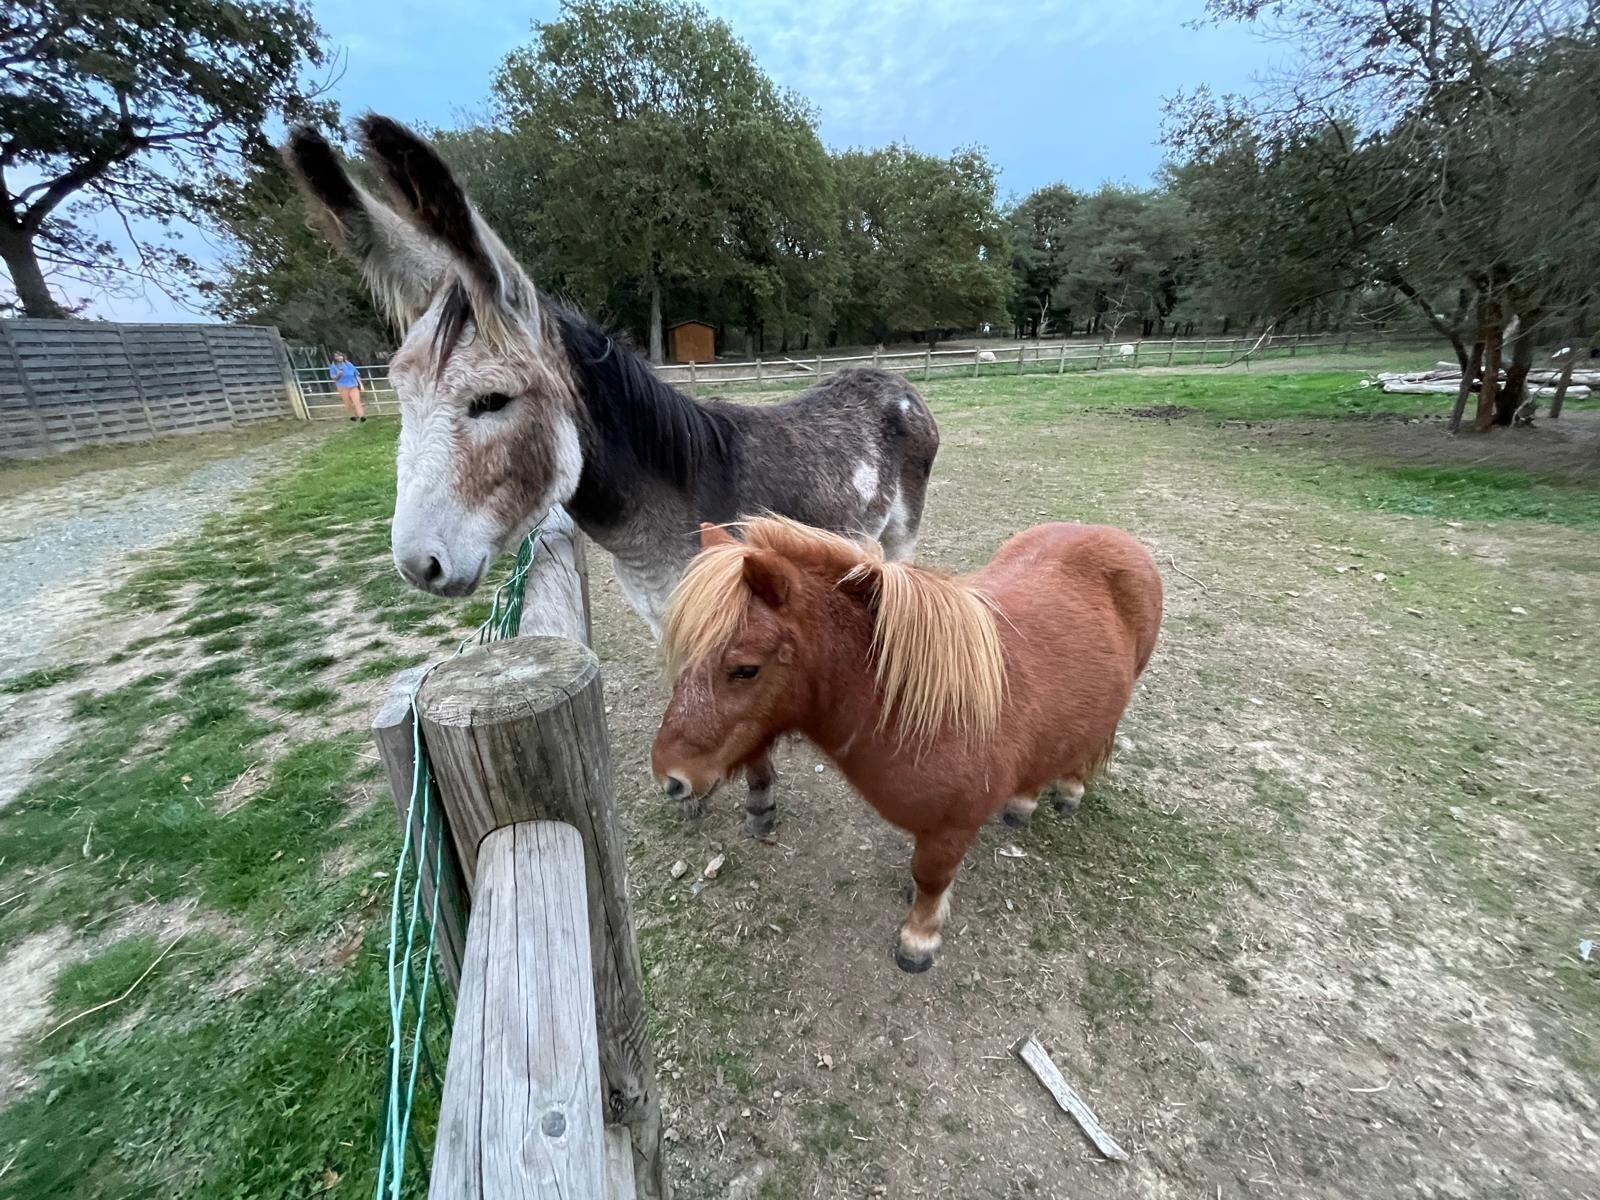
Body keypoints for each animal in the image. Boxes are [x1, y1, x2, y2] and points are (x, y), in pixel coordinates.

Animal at [283, 115, 939, 836]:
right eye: (398, 390)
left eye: (492, 400)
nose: (416, 566)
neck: (661, 513)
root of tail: (890, 379)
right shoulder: (666, 611)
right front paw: (708, 788)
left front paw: (759, 798)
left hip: (903, 527)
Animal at [651, 517, 1163, 973]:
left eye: (745, 669)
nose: (670, 777)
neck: (928, 707)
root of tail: (1113, 538)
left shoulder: (950, 830)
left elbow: (930, 878)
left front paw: (919, 939)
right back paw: (1023, 802)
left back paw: (1070, 790)